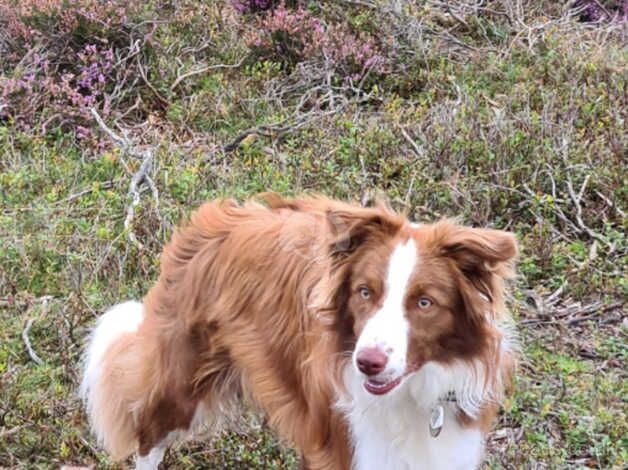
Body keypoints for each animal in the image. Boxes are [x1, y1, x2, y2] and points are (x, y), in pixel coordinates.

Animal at [79, 195, 520, 470]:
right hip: (182, 378)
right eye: (365, 292)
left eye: (425, 302)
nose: (368, 362)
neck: (411, 395)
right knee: (148, 433)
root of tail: (214, 217)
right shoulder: (346, 449)